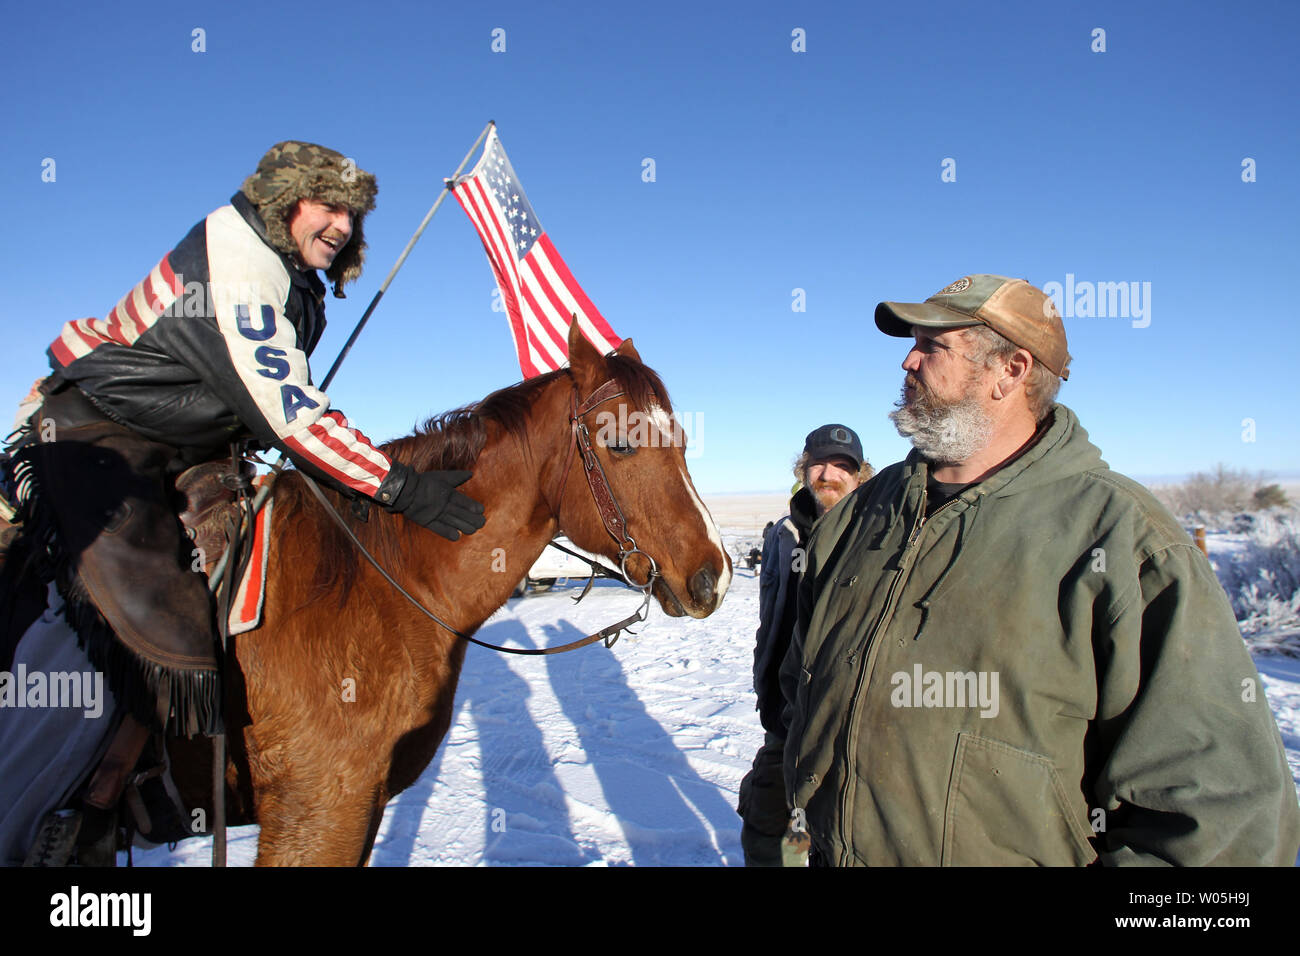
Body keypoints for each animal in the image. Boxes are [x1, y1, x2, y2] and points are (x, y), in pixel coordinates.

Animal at [169, 323, 733, 868]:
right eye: (620, 443)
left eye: (683, 442)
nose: (714, 576)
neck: (377, 579)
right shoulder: (317, 812)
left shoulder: (360, 808)